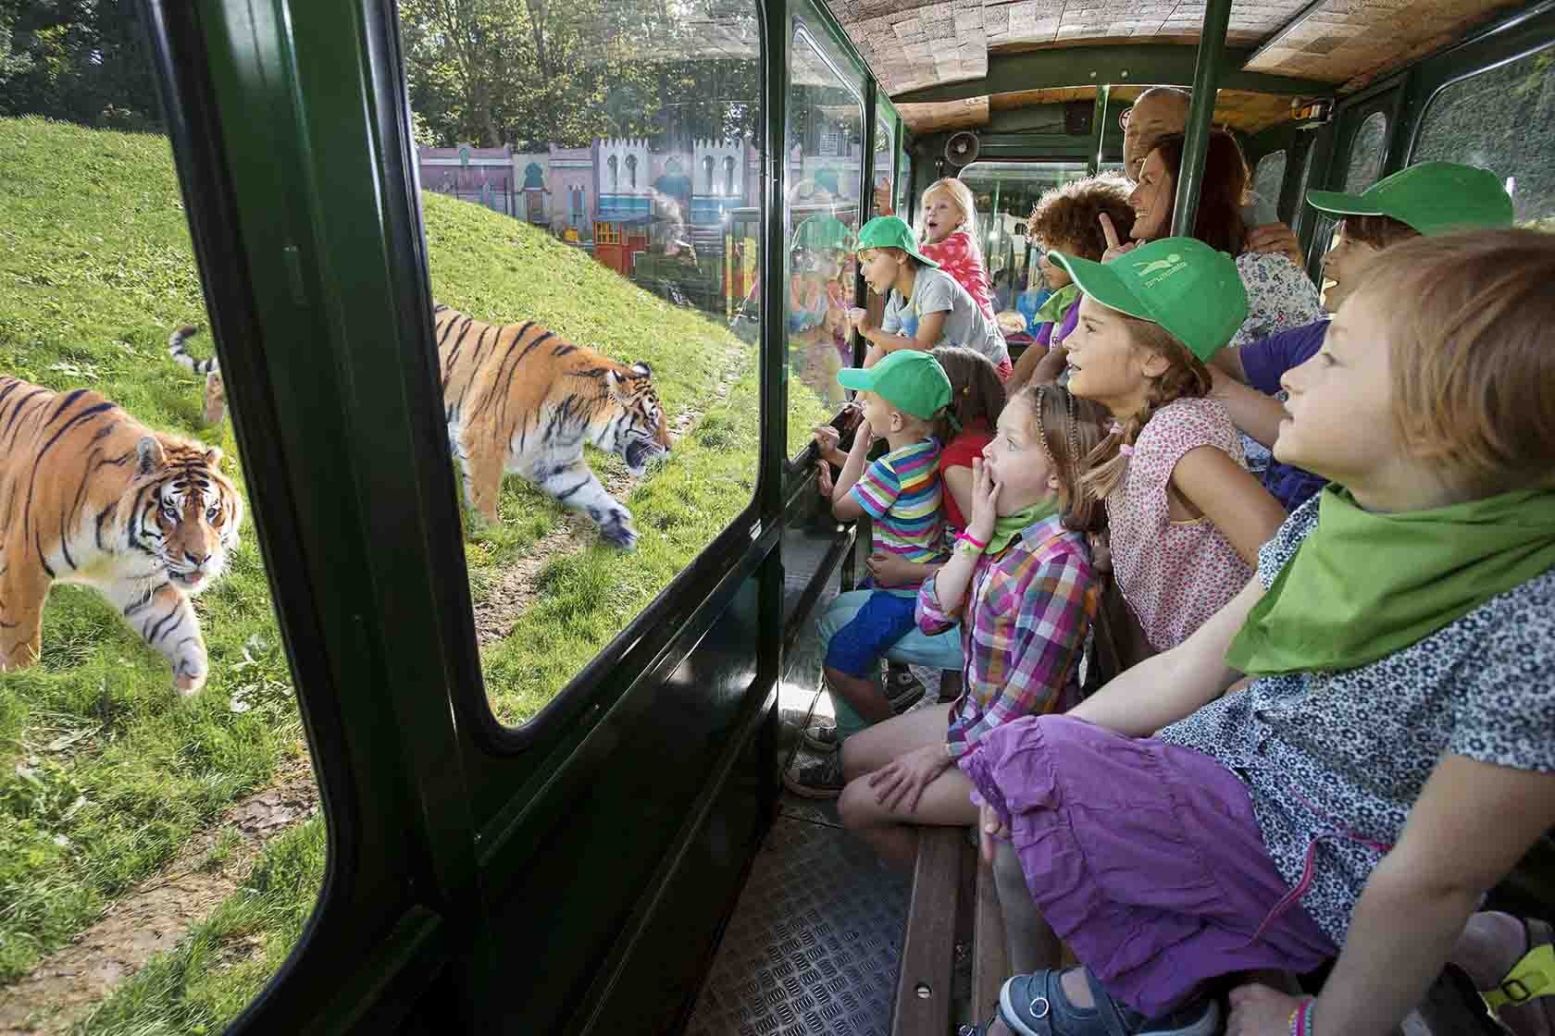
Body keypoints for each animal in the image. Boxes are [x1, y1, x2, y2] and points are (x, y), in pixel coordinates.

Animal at [0, 374, 241, 690]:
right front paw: (21, 683)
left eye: (212, 512)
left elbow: (179, 626)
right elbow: (20, 641)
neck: (117, 542)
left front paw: (191, 677)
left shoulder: (140, 580)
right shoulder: (23, 566)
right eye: (170, 512)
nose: (201, 558)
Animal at [441, 300, 677, 547]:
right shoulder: (485, 436)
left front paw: (619, 524)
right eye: (651, 419)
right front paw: (491, 531)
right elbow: (485, 488)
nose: (670, 447)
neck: (576, 416)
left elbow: (589, 489)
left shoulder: (557, 461)